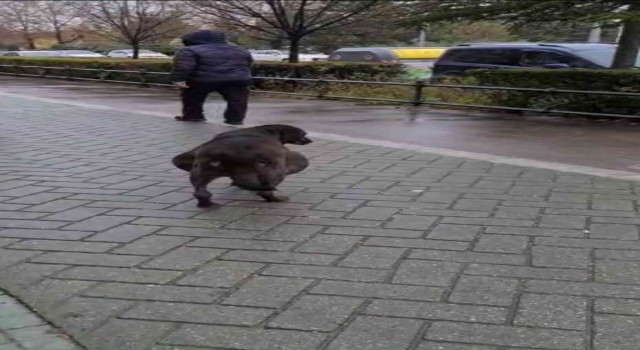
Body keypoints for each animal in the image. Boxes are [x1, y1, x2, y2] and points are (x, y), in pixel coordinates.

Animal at [170, 124, 310, 206]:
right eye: (303, 134)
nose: (310, 140)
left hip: (201, 171)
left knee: (200, 191)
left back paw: (206, 202)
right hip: (285, 162)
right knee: (266, 187)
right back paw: (271, 196)